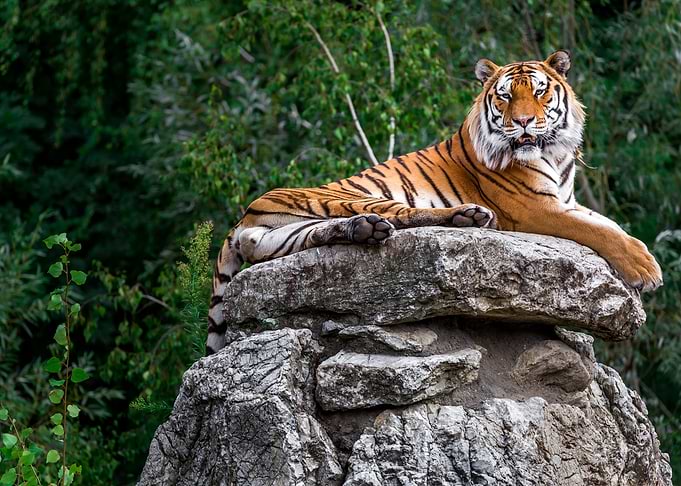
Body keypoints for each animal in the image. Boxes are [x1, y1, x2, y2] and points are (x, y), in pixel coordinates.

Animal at [206, 50, 663, 355]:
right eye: (504, 97)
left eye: (538, 92)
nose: (522, 122)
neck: (554, 152)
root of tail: (247, 212)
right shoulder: (537, 208)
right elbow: (598, 230)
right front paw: (647, 269)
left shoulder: (566, 199)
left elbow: (610, 224)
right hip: (353, 196)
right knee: (412, 215)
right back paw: (468, 217)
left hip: (286, 235)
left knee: (325, 234)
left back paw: (366, 229)